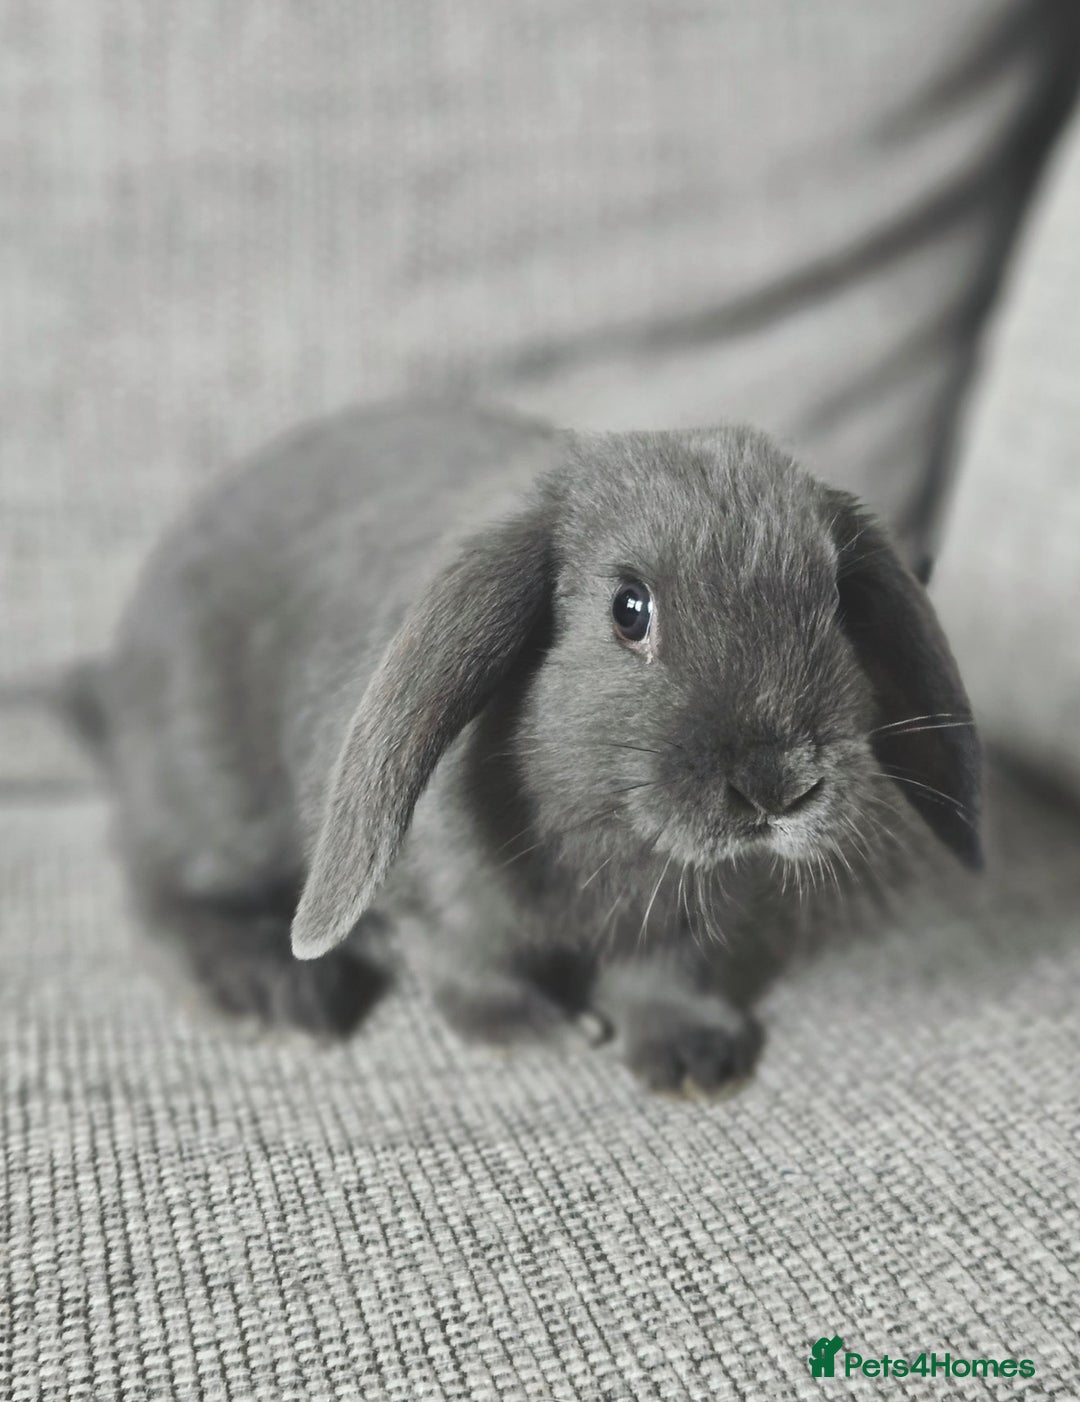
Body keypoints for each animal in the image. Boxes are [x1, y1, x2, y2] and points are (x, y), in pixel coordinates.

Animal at [66, 401, 981, 1092]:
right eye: (630, 609)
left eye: (836, 603)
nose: (777, 783)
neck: (610, 842)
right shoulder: (435, 900)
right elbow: (465, 965)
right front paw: (542, 1033)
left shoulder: (680, 922)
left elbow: (667, 971)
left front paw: (693, 1058)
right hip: (206, 795)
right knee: (161, 896)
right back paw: (277, 995)